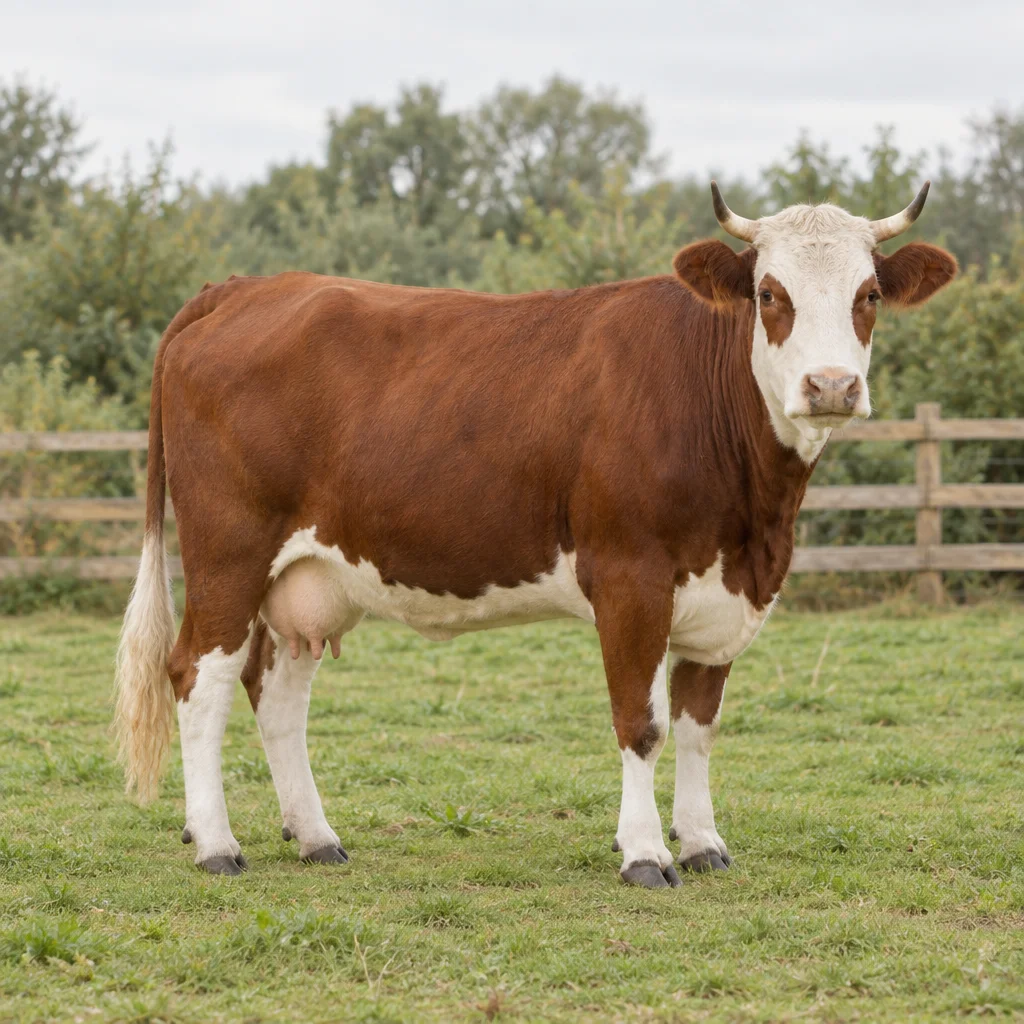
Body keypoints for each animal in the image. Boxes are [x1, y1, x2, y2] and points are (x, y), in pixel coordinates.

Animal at [113, 183, 956, 886]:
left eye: (869, 293)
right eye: (769, 293)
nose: (832, 386)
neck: (756, 517)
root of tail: (244, 287)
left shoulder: (724, 594)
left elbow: (698, 727)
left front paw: (702, 842)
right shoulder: (629, 579)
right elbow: (642, 723)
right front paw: (645, 853)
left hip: (308, 578)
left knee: (277, 693)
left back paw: (316, 835)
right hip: (229, 553)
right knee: (199, 676)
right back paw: (217, 843)